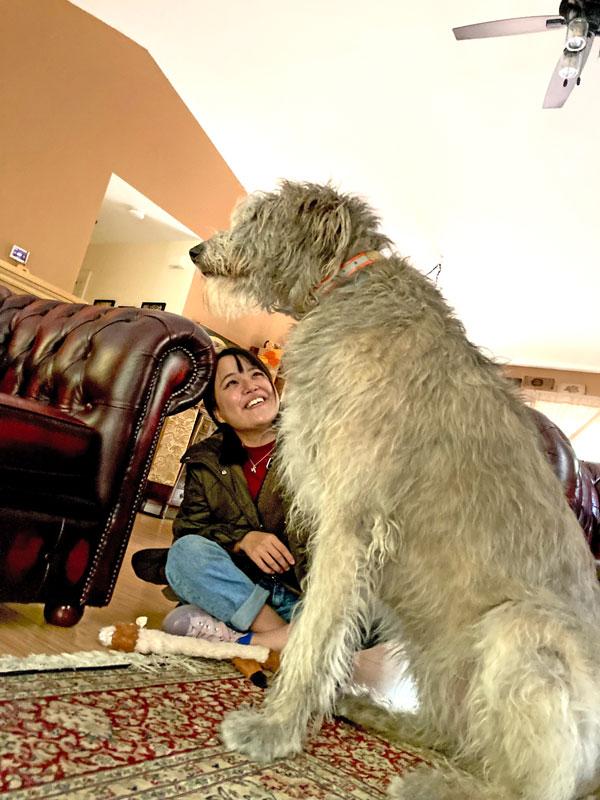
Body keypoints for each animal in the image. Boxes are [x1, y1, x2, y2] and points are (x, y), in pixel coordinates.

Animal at [192, 181, 600, 800]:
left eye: (256, 217)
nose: (195, 251)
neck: (345, 286)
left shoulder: (352, 521)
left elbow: (315, 633)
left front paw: (273, 731)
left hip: (521, 632)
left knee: (533, 787)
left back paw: (435, 786)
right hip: (439, 655)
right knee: (455, 734)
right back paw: (380, 716)